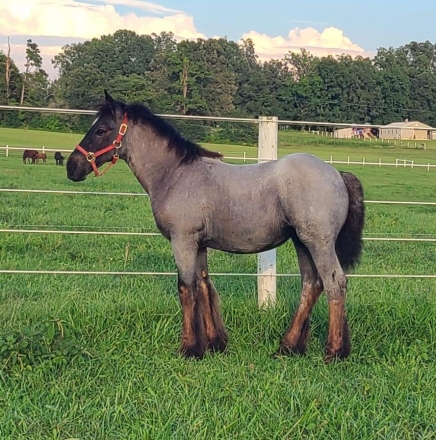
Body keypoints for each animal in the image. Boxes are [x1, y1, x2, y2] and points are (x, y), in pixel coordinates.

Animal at [65, 91, 364, 362]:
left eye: (101, 130)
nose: (71, 166)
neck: (175, 175)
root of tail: (337, 173)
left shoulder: (182, 241)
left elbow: (186, 289)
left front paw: (189, 349)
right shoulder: (199, 245)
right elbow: (204, 286)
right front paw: (214, 343)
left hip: (318, 242)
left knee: (335, 283)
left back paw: (334, 352)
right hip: (302, 242)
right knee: (311, 285)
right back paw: (288, 347)